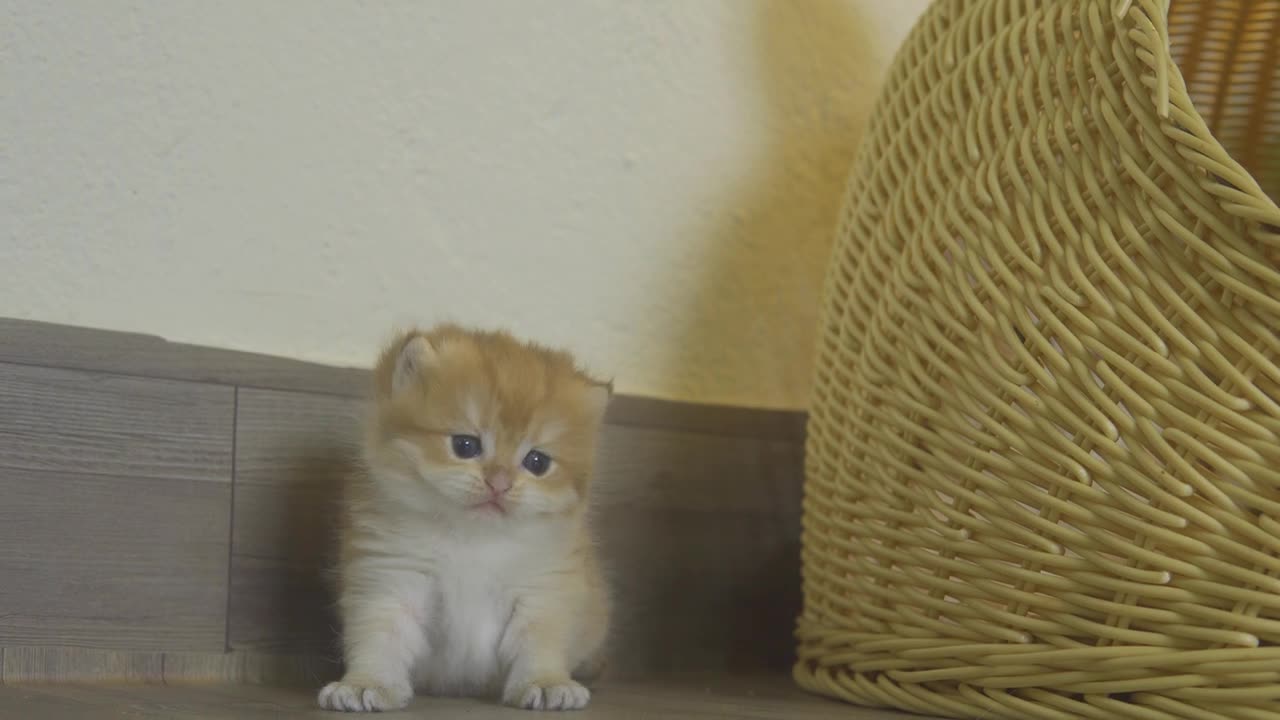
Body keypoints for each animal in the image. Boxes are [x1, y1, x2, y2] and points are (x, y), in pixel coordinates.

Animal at [317, 326, 611, 712]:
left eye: (537, 462)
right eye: (465, 446)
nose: (499, 483)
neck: (473, 537)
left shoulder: (543, 588)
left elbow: (538, 641)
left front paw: (546, 682)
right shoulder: (391, 576)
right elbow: (380, 637)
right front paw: (366, 683)